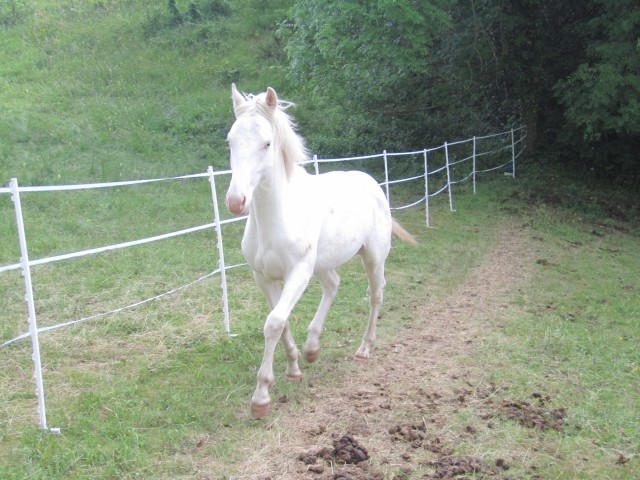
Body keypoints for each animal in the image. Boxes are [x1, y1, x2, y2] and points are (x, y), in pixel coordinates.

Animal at [225, 85, 416, 416]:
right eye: (230, 141)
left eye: (266, 143)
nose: (236, 201)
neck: (275, 218)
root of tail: (371, 183)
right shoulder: (263, 276)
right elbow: (282, 320)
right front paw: (294, 368)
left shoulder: (298, 272)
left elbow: (273, 323)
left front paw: (262, 396)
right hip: (324, 263)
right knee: (334, 285)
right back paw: (313, 348)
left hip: (373, 257)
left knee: (375, 295)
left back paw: (364, 349)